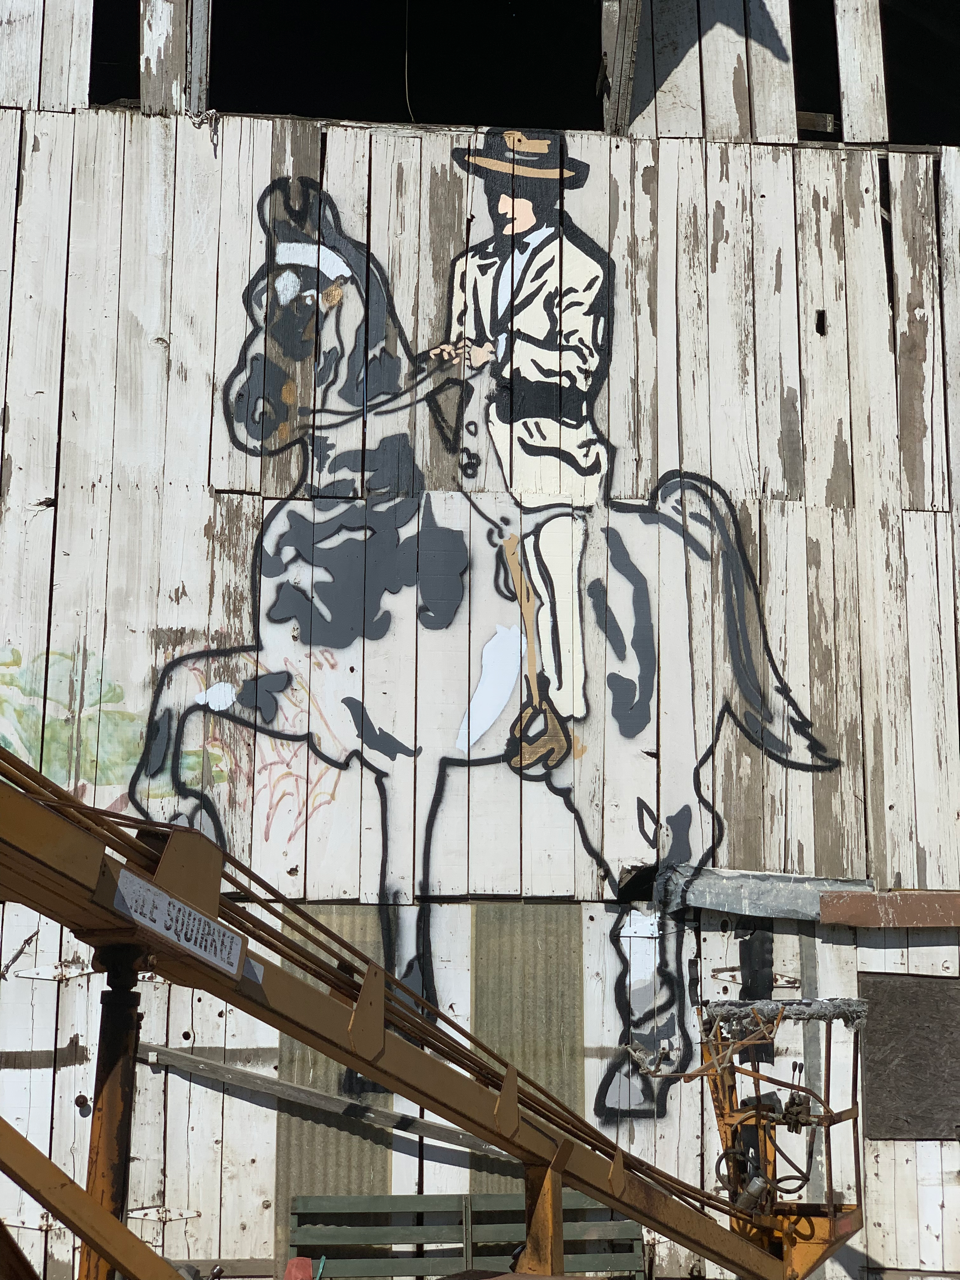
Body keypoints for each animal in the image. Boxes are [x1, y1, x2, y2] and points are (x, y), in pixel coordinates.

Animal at [129, 176, 838, 1121]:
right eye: (253, 297)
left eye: (313, 303)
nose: (254, 414)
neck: (362, 520)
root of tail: (674, 523)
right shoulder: (297, 695)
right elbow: (179, 679)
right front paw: (179, 809)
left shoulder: (407, 759)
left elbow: (400, 888)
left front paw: (389, 1046)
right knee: (656, 860)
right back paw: (642, 1056)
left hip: (640, 754)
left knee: (672, 852)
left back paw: (647, 1060)